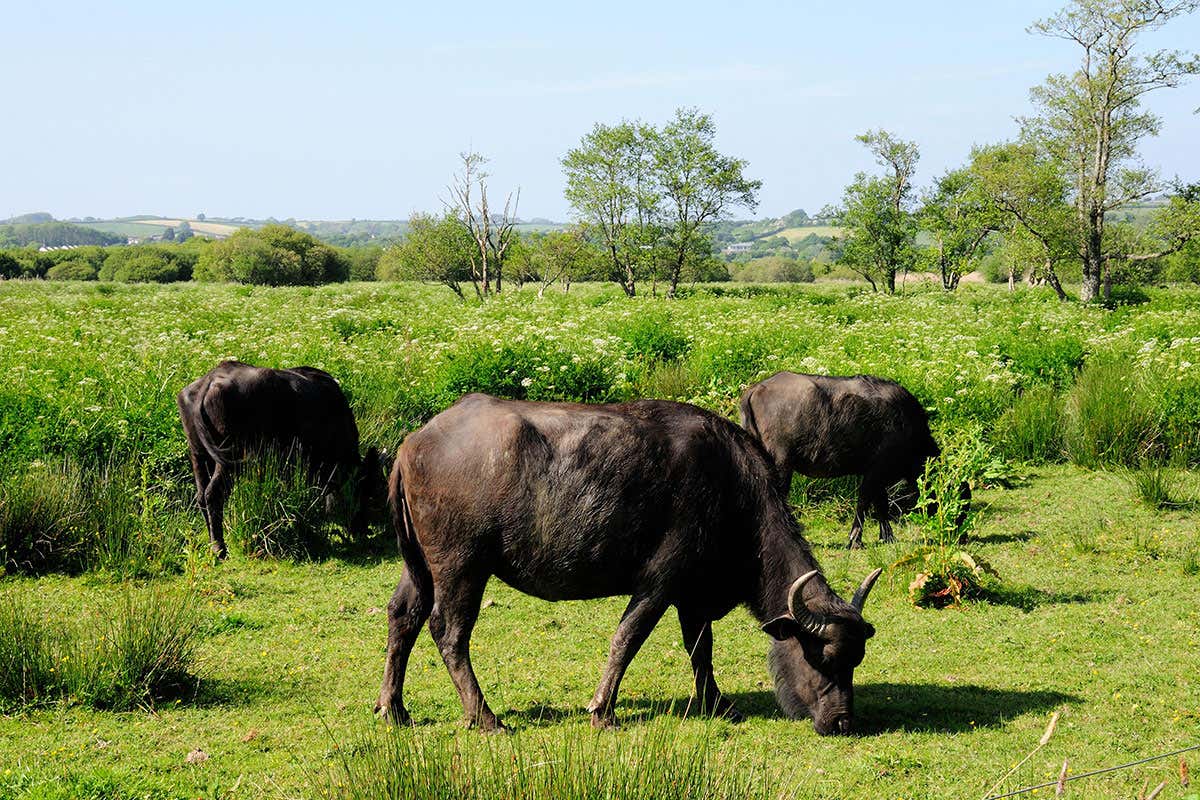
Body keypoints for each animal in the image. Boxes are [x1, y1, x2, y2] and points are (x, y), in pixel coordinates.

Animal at [177, 360, 382, 558]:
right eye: (364, 489)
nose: (364, 529)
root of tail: (209, 382)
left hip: (199, 454)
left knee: (201, 496)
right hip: (227, 460)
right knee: (213, 494)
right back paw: (219, 548)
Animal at [375, 393, 881, 735]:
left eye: (856, 661)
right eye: (823, 658)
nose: (842, 722)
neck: (731, 488)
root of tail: (414, 442)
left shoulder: (693, 596)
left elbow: (701, 650)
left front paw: (718, 704)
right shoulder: (659, 583)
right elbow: (627, 639)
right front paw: (602, 710)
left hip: (419, 567)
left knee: (403, 616)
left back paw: (393, 707)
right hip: (462, 566)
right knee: (448, 632)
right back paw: (485, 717)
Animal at [740, 371, 965, 549]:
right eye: (961, 496)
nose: (960, 533)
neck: (909, 429)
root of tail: (756, 389)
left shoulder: (875, 473)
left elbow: (881, 503)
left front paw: (887, 536)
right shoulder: (876, 470)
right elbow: (865, 501)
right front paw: (855, 539)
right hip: (782, 464)